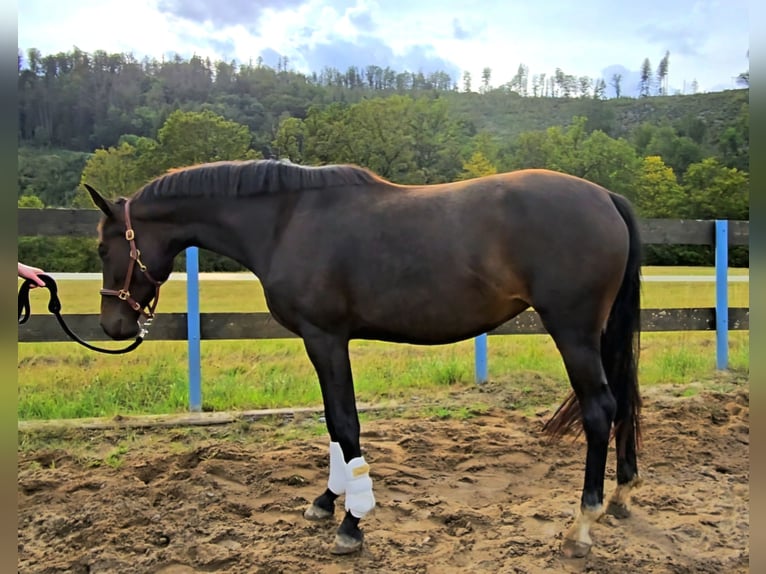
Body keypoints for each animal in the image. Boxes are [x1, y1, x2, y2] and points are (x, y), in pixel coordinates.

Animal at [85, 160, 640, 560]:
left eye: (103, 249)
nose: (113, 325)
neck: (285, 220)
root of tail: (606, 198)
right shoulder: (326, 342)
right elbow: (334, 424)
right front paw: (327, 500)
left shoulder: (326, 338)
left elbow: (345, 422)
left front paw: (353, 522)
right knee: (622, 403)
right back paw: (621, 495)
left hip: (572, 331)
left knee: (599, 410)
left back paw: (581, 526)